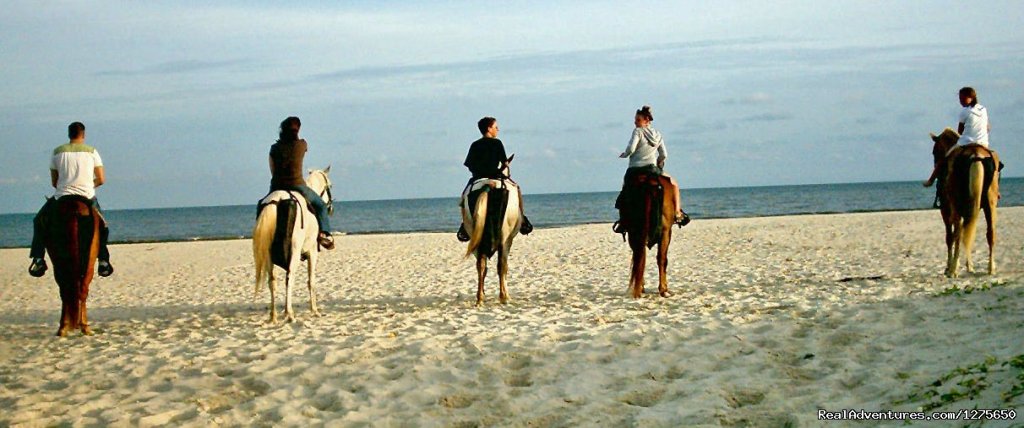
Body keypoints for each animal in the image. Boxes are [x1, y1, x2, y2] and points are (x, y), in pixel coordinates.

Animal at [44, 195, 102, 335]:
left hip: (60, 264)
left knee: (66, 291)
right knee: (81, 290)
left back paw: (65, 326)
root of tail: (74, 208)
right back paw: (83, 326)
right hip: (88, 262)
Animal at [252, 165, 335, 321]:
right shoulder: (312, 252)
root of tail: (277, 200)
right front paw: (314, 310)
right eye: (330, 186)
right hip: (294, 253)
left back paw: (273, 316)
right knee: (289, 278)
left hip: (269, 256)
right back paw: (289, 313)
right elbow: (311, 281)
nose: (331, 208)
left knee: (272, 281)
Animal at [466, 155, 524, 305]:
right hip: (504, 237)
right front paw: (505, 294)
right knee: (501, 265)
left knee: (480, 266)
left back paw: (480, 298)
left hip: (475, 236)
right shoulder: (508, 240)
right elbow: (504, 266)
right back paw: (503, 296)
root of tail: (489, 185)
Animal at [614, 168, 679, 296]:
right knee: (660, 258)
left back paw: (639, 287)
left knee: (640, 256)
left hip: (634, 232)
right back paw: (663, 289)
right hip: (664, 232)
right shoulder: (667, 232)